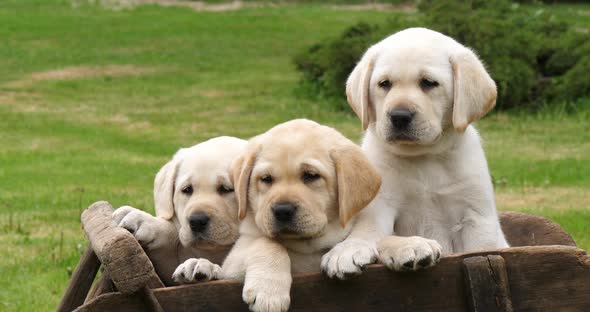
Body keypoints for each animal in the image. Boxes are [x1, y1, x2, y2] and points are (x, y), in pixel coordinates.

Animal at [113, 136, 247, 286]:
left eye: (227, 189)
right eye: (187, 189)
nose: (196, 221)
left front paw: (204, 265)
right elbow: (171, 230)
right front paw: (141, 219)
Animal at [173, 118, 382, 310]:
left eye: (311, 176)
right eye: (266, 179)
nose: (282, 211)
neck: (306, 247)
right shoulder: (233, 265)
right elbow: (267, 243)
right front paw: (268, 293)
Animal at [322, 28, 512, 278]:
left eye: (429, 83)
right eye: (384, 84)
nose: (399, 116)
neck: (423, 157)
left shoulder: (476, 217)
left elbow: (481, 248)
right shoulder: (379, 205)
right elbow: (368, 230)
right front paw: (349, 249)